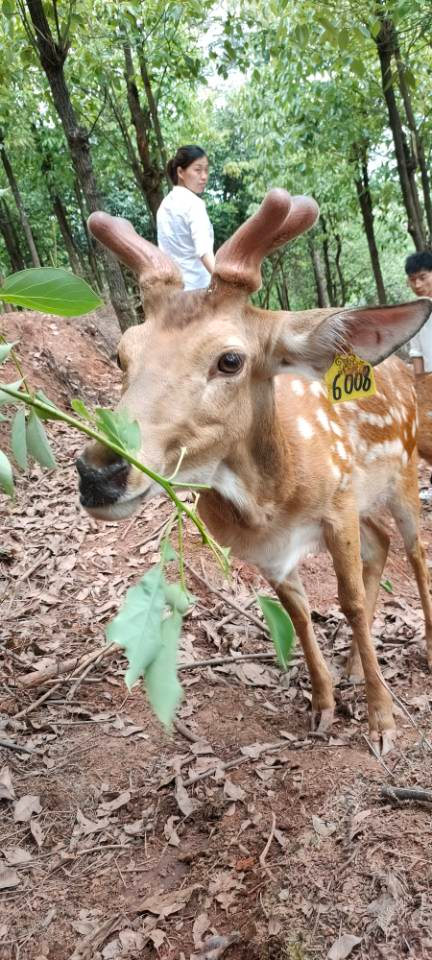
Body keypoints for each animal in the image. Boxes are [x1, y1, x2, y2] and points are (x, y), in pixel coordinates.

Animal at [76, 189, 432, 756]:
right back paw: (354, 665)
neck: (274, 500)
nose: (98, 474)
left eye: (230, 359)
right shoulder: (271, 548)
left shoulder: (336, 504)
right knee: (380, 543)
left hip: (401, 477)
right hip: (366, 497)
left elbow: (350, 602)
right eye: (121, 354)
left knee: (416, 552)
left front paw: (381, 721)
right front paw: (323, 704)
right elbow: (299, 613)